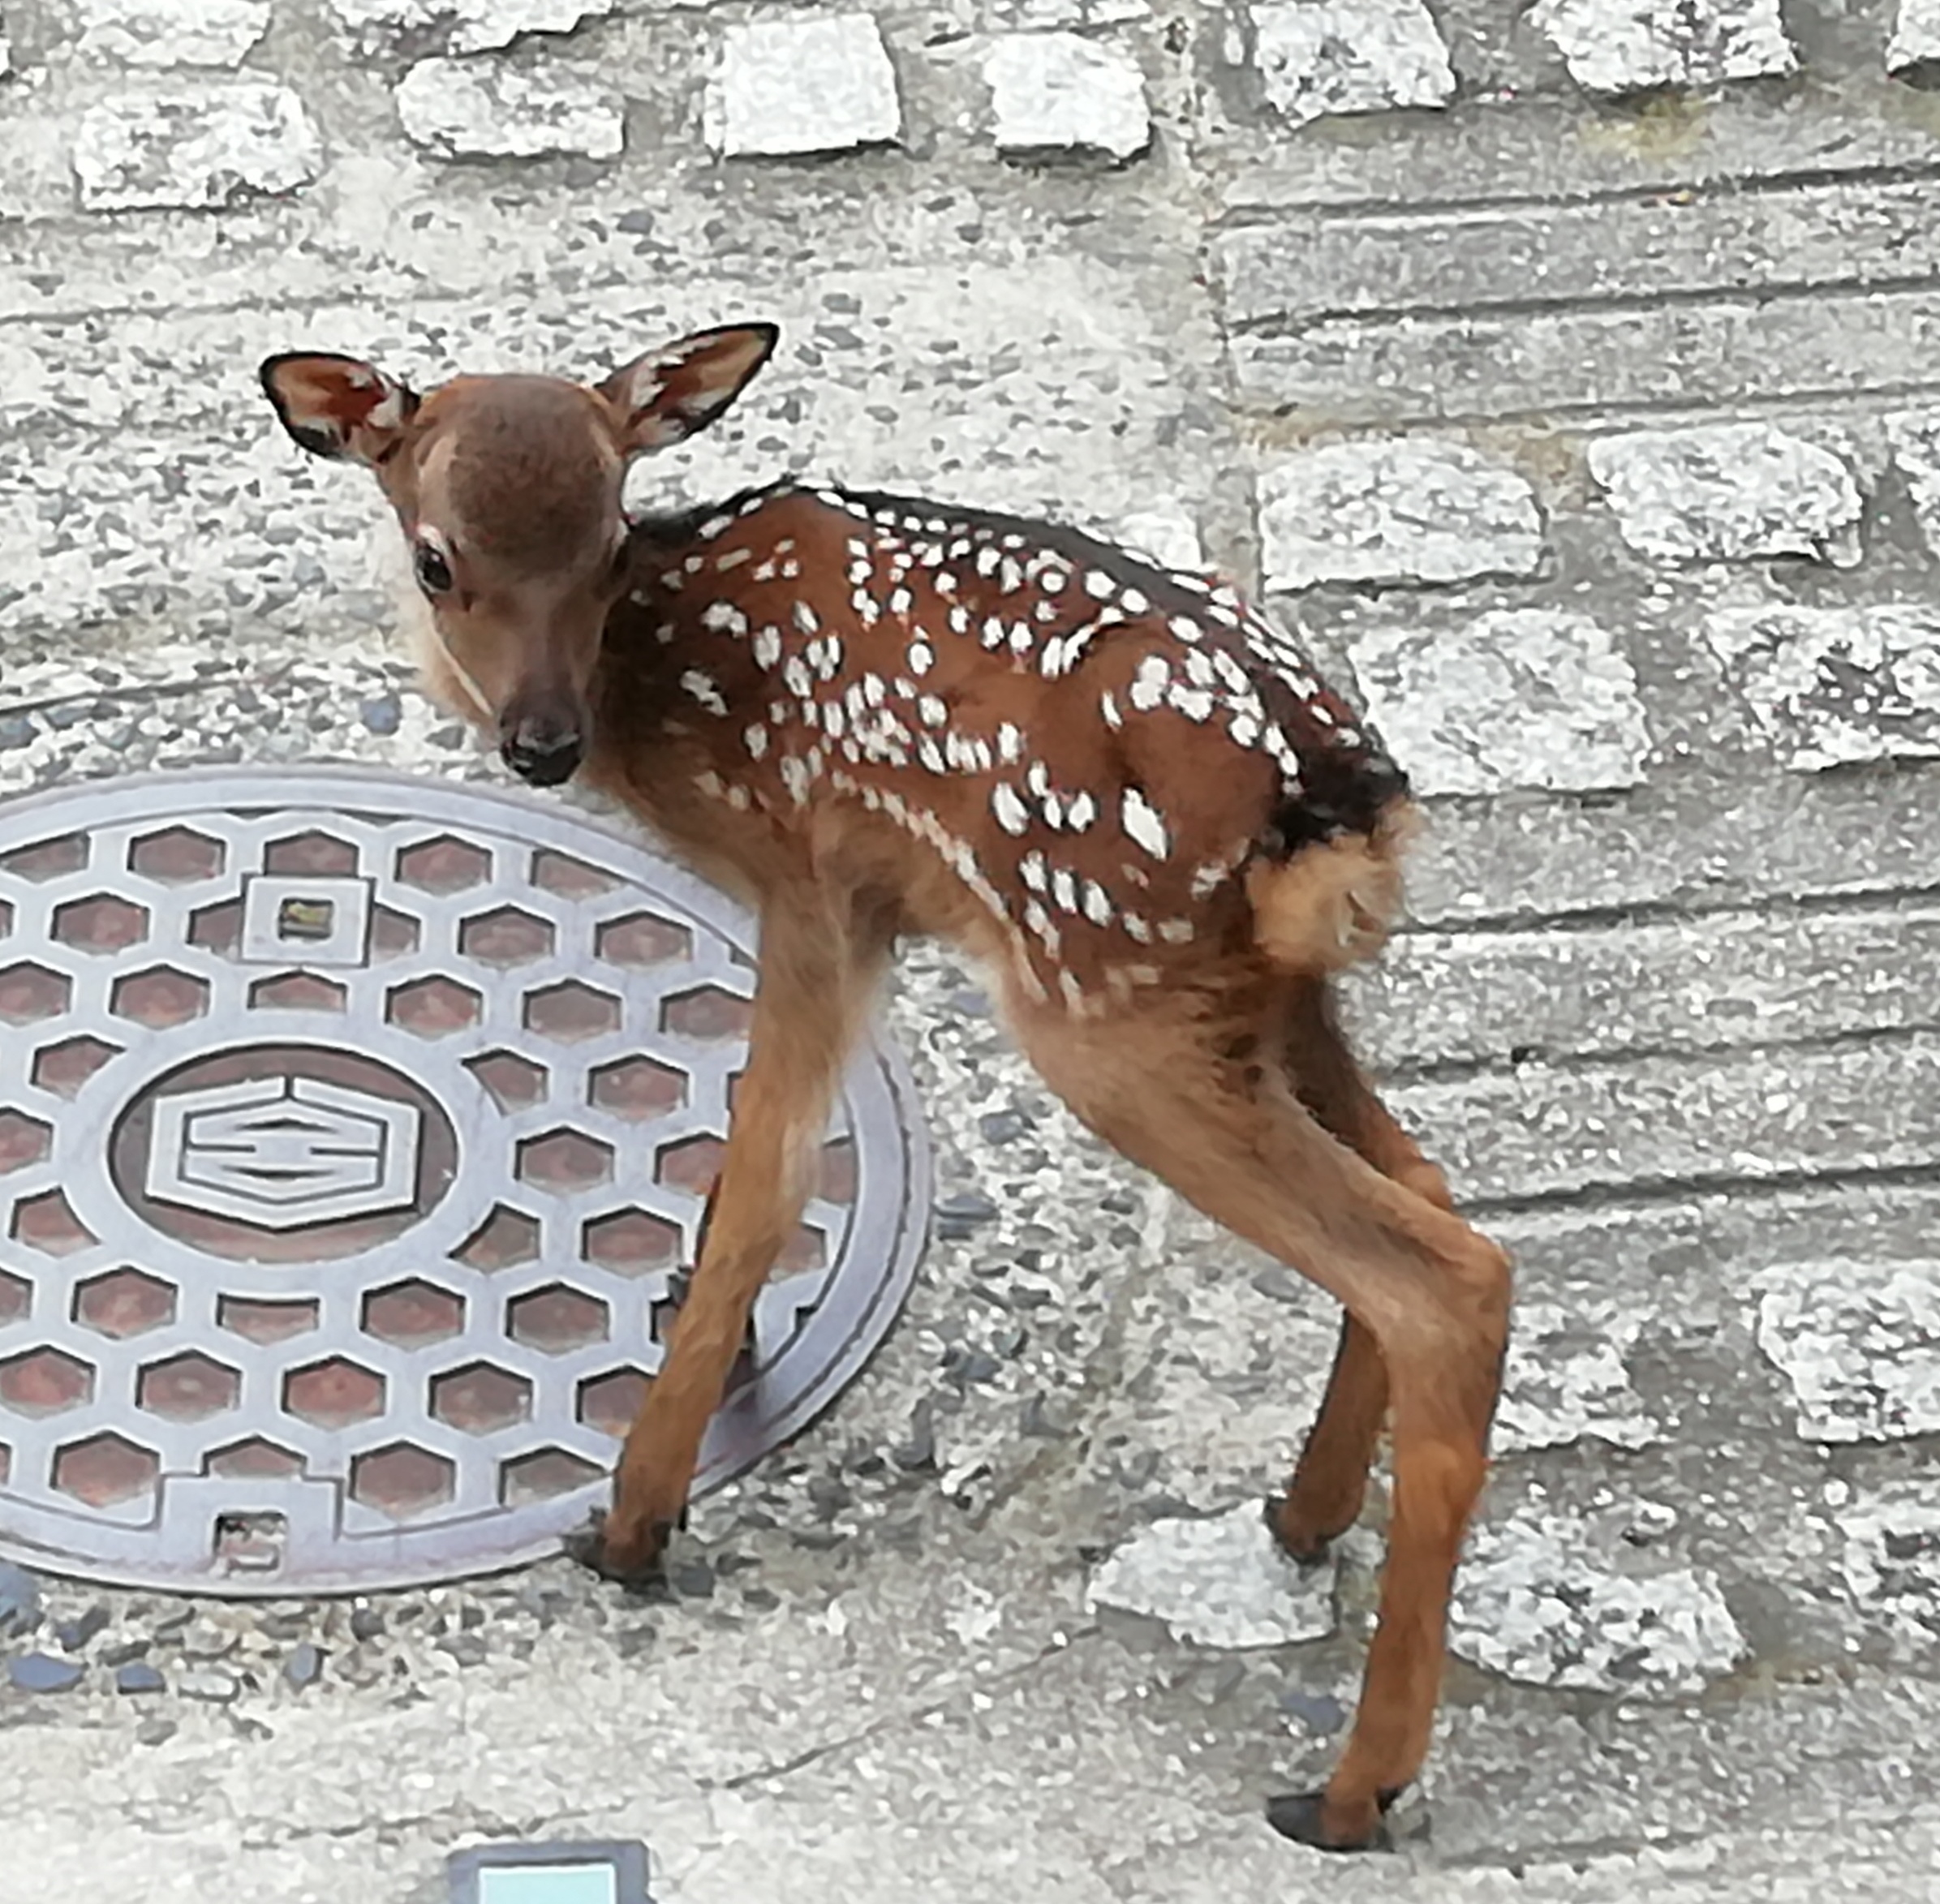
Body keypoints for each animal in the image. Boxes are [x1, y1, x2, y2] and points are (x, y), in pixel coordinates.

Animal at [257, 323, 1511, 1854]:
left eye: (608, 541)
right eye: (439, 559)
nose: (539, 744)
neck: (663, 684)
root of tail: (1328, 799)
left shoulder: (817, 883)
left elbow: (773, 1167)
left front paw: (633, 1521)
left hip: (1102, 1003)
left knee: (1444, 1277)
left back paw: (1350, 1785)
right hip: (1262, 996)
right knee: (1424, 1184)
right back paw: (1305, 1512)